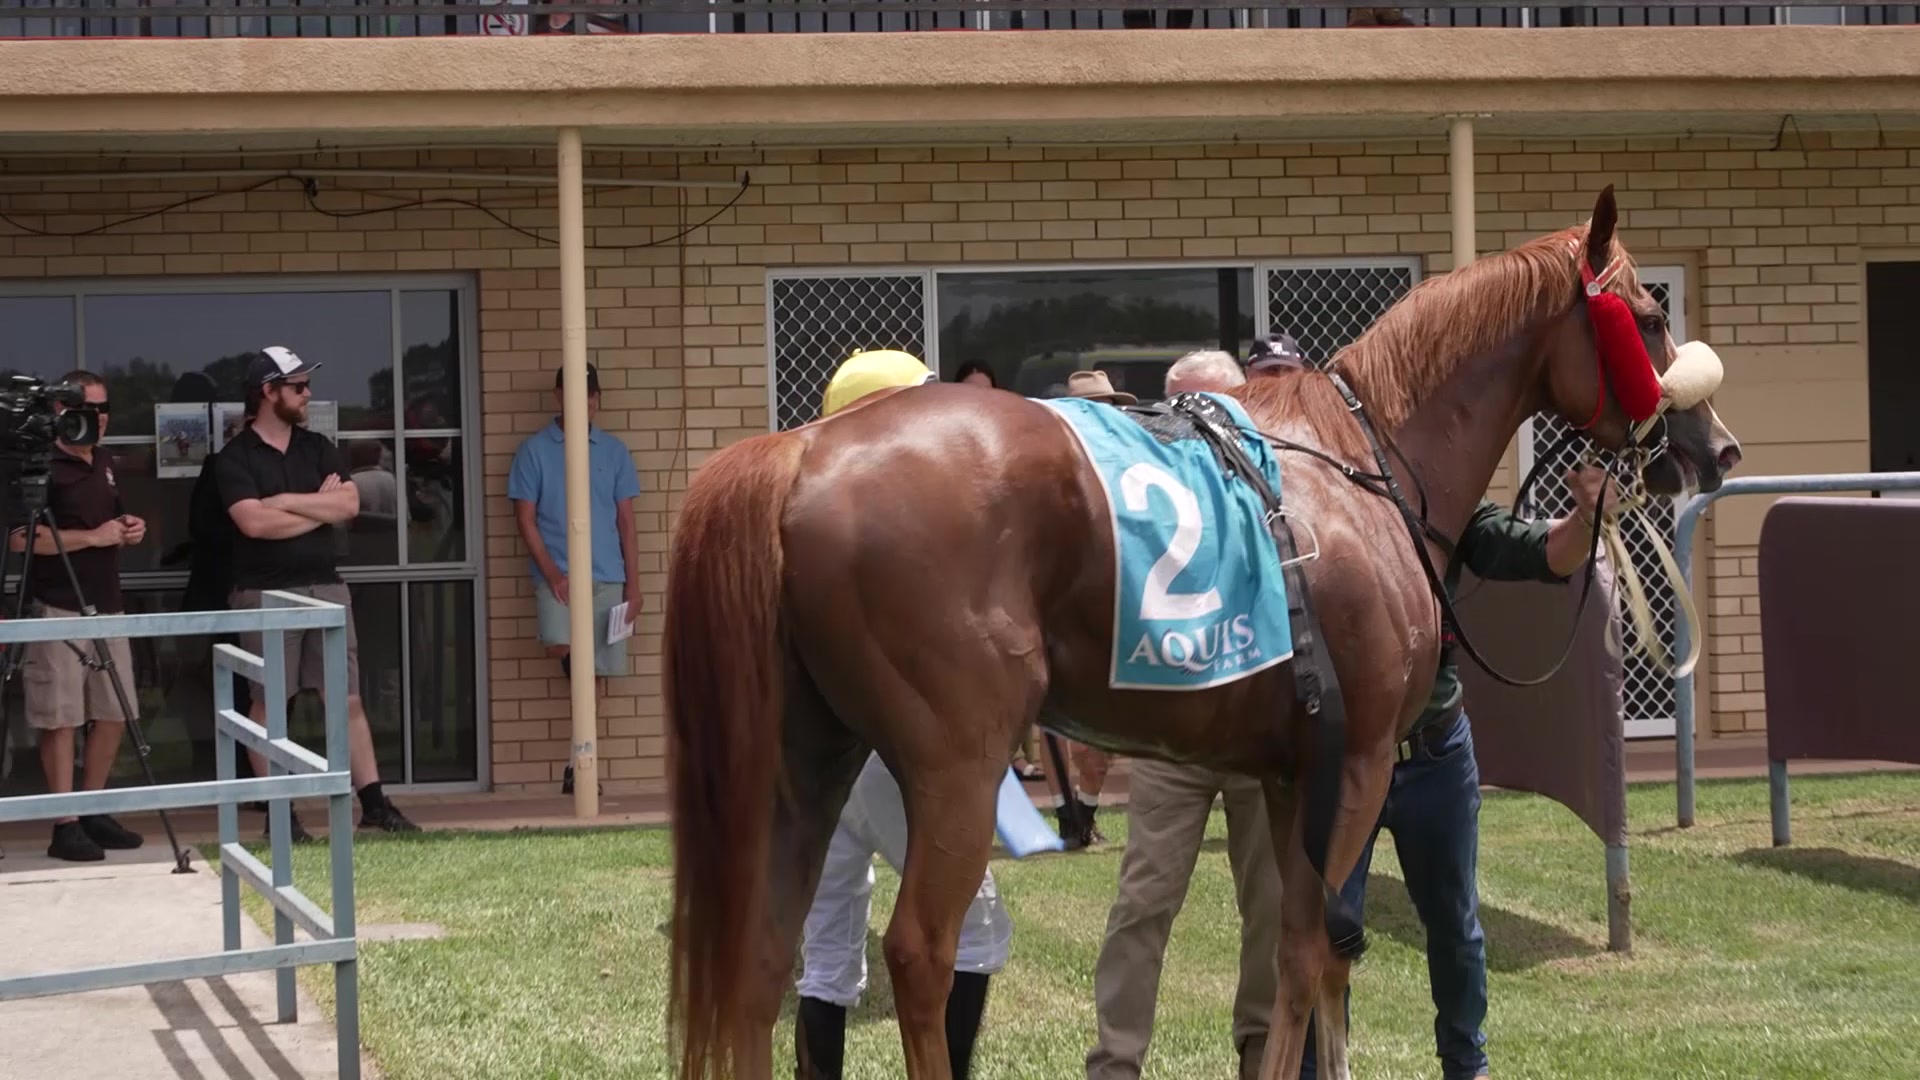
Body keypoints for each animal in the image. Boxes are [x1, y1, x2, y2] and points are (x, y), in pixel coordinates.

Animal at [664, 186, 1742, 1080]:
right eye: (1648, 316)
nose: (1715, 450)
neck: (1360, 460)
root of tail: (798, 455)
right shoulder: (1357, 764)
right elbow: (1309, 955)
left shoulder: (1291, 775)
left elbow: (1308, 961)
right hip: (955, 767)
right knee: (921, 956)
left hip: (806, 761)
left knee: (763, 958)